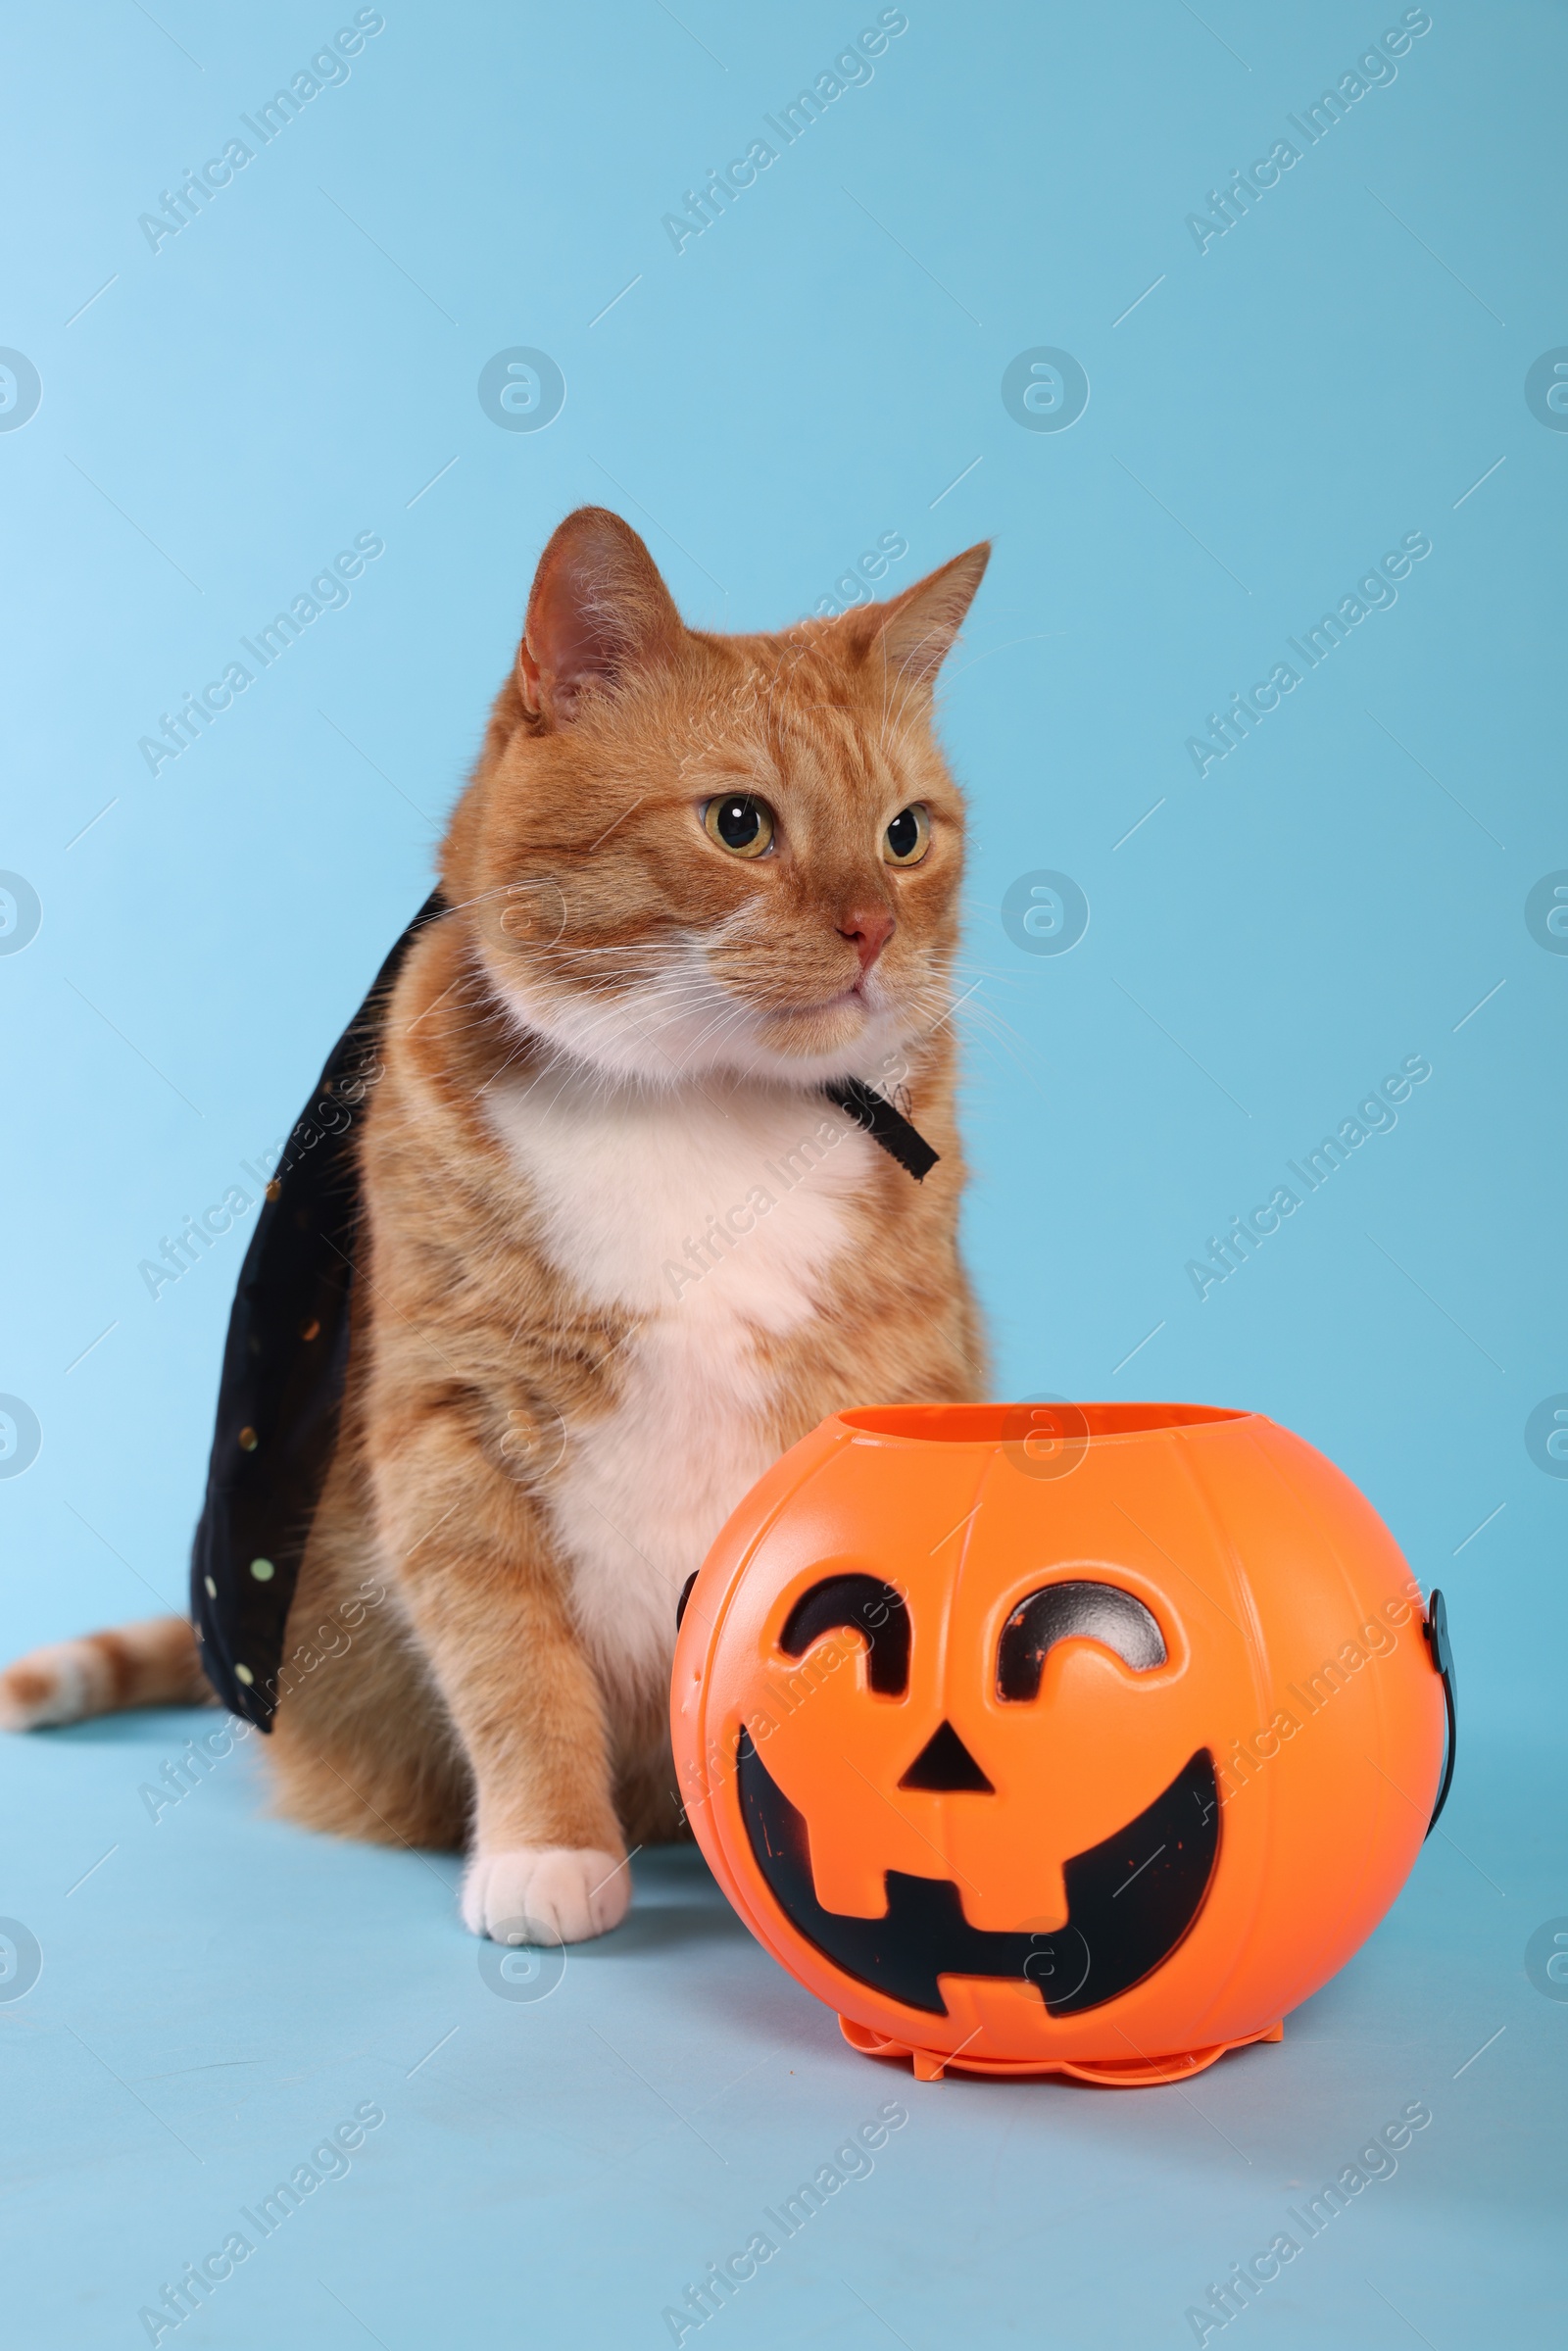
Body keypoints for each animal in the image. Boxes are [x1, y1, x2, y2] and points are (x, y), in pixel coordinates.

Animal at [0, 514, 987, 1946]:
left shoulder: (894, 1392)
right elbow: (515, 1664)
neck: (699, 1105)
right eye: (739, 823)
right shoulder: (449, 1425)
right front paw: (548, 1849)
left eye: (906, 834)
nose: (873, 927)